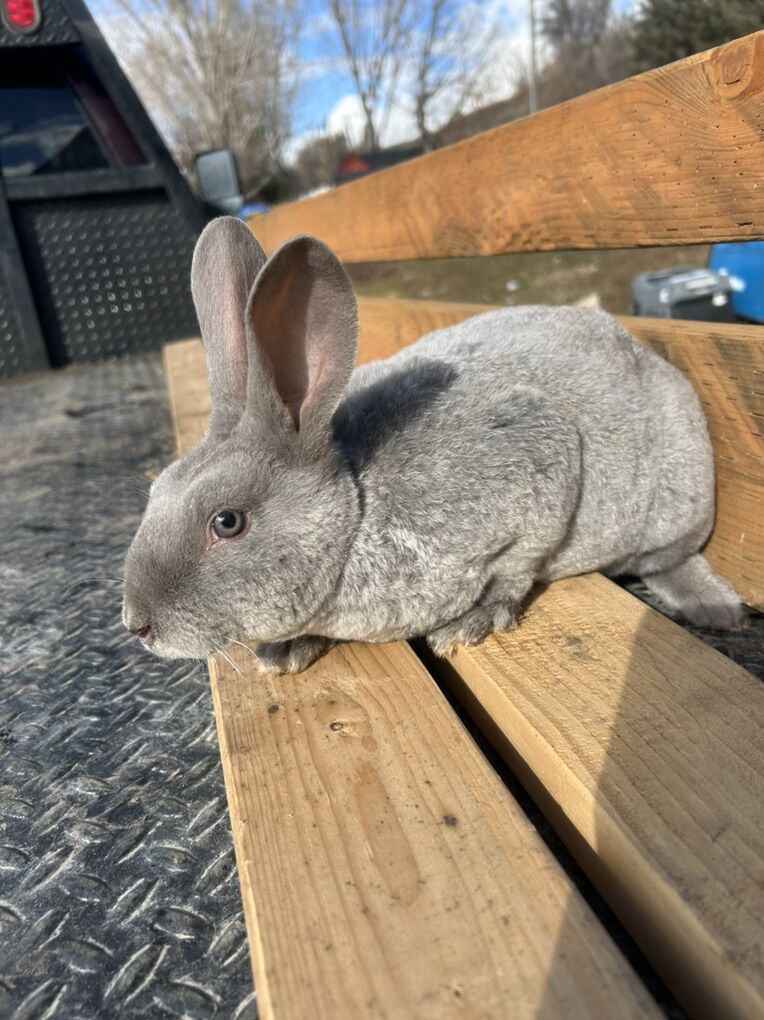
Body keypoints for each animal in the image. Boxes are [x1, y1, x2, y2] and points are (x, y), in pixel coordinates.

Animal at [122, 216, 744, 672]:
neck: (355, 512)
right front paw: (286, 651)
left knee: (673, 556)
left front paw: (471, 622)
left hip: (671, 504)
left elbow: (518, 565)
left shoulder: (541, 458)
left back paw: (716, 608)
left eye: (227, 522)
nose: (137, 626)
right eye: (155, 493)